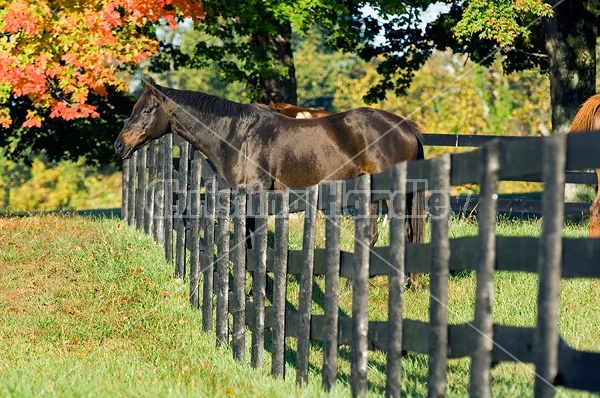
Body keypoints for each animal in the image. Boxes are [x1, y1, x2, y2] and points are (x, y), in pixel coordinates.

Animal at [116, 80, 426, 266]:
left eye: (146, 110)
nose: (120, 145)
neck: (237, 135)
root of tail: (405, 125)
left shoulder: (254, 195)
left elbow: (252, 242)